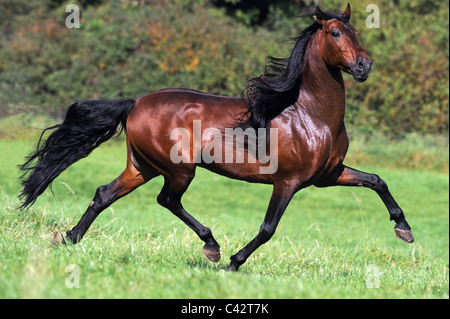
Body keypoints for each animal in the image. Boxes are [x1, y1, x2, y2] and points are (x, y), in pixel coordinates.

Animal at [17, 3, 414, 272]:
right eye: (335, 34)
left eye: (357, 33)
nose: (363, 66)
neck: (309, 115)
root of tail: (136, 103)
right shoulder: (288, 182)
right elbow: (268, 228)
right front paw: (234, 262)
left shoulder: (328, 176)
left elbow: (377, 180)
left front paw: (404, 229)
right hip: (178, 170)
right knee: (166, 200)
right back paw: (212, 246)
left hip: (142, 165)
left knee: (104, 194)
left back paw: (69, 238)